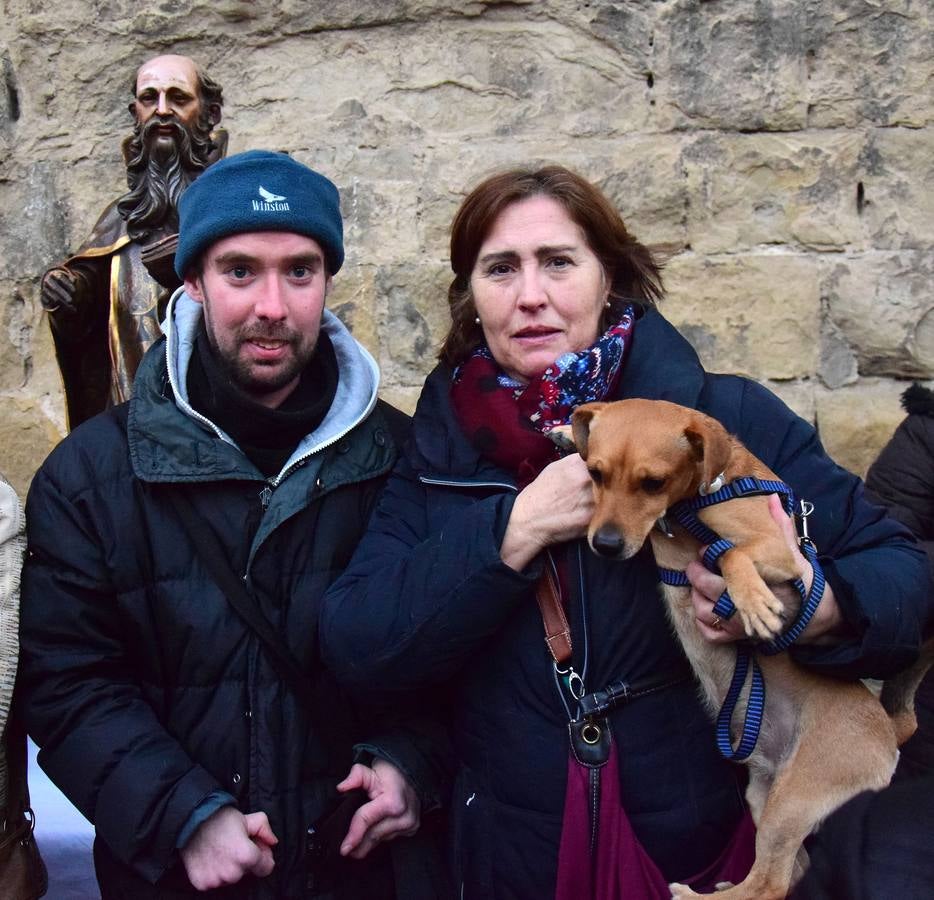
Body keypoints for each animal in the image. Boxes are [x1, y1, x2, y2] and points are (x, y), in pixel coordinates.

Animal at [560, 400, 932, 900]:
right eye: (595, 474)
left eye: (653, 483)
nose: (604, 544)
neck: (696, 501)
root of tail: (890, 731)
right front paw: (563, 432)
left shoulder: (779, 548)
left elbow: (732, 554)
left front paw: (753, 603)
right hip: (764, 798)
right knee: (788, 872)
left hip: (792, 801)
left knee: (769, 885)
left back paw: (694, 896)